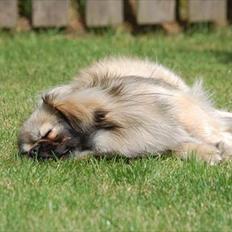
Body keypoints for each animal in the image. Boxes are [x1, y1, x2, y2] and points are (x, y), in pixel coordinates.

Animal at [17, 57, 232, 164]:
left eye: (48, 133)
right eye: (30, 152)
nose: (38, 151)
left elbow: (208, 133)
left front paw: (222, 148)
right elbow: (179, 146)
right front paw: (207, 153)